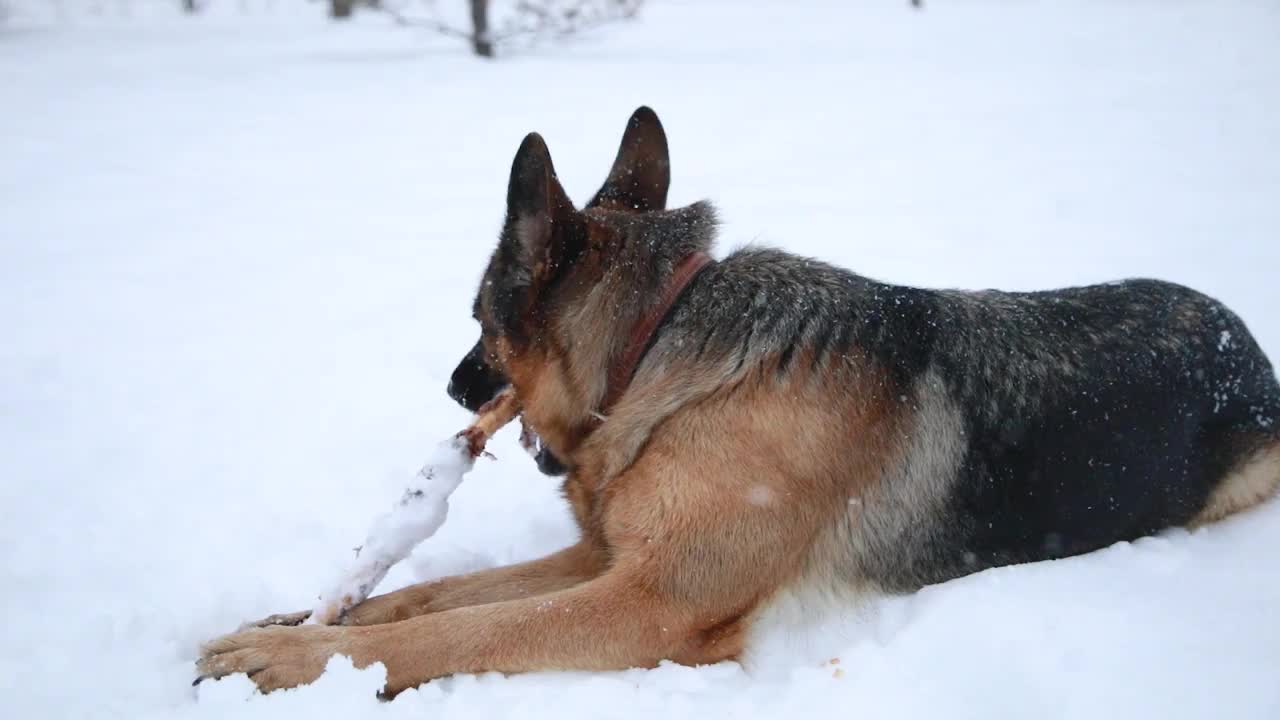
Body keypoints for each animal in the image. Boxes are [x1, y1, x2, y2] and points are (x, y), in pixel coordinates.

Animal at [197, 105, 1280, 691]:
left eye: (478, 318)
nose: (456, 385)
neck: (655, 350)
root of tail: (1247, 344)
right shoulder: (607, 556)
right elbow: (430, 594)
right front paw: (293, 626)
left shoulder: (652, 604)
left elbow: (458, 630)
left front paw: (288, 665)